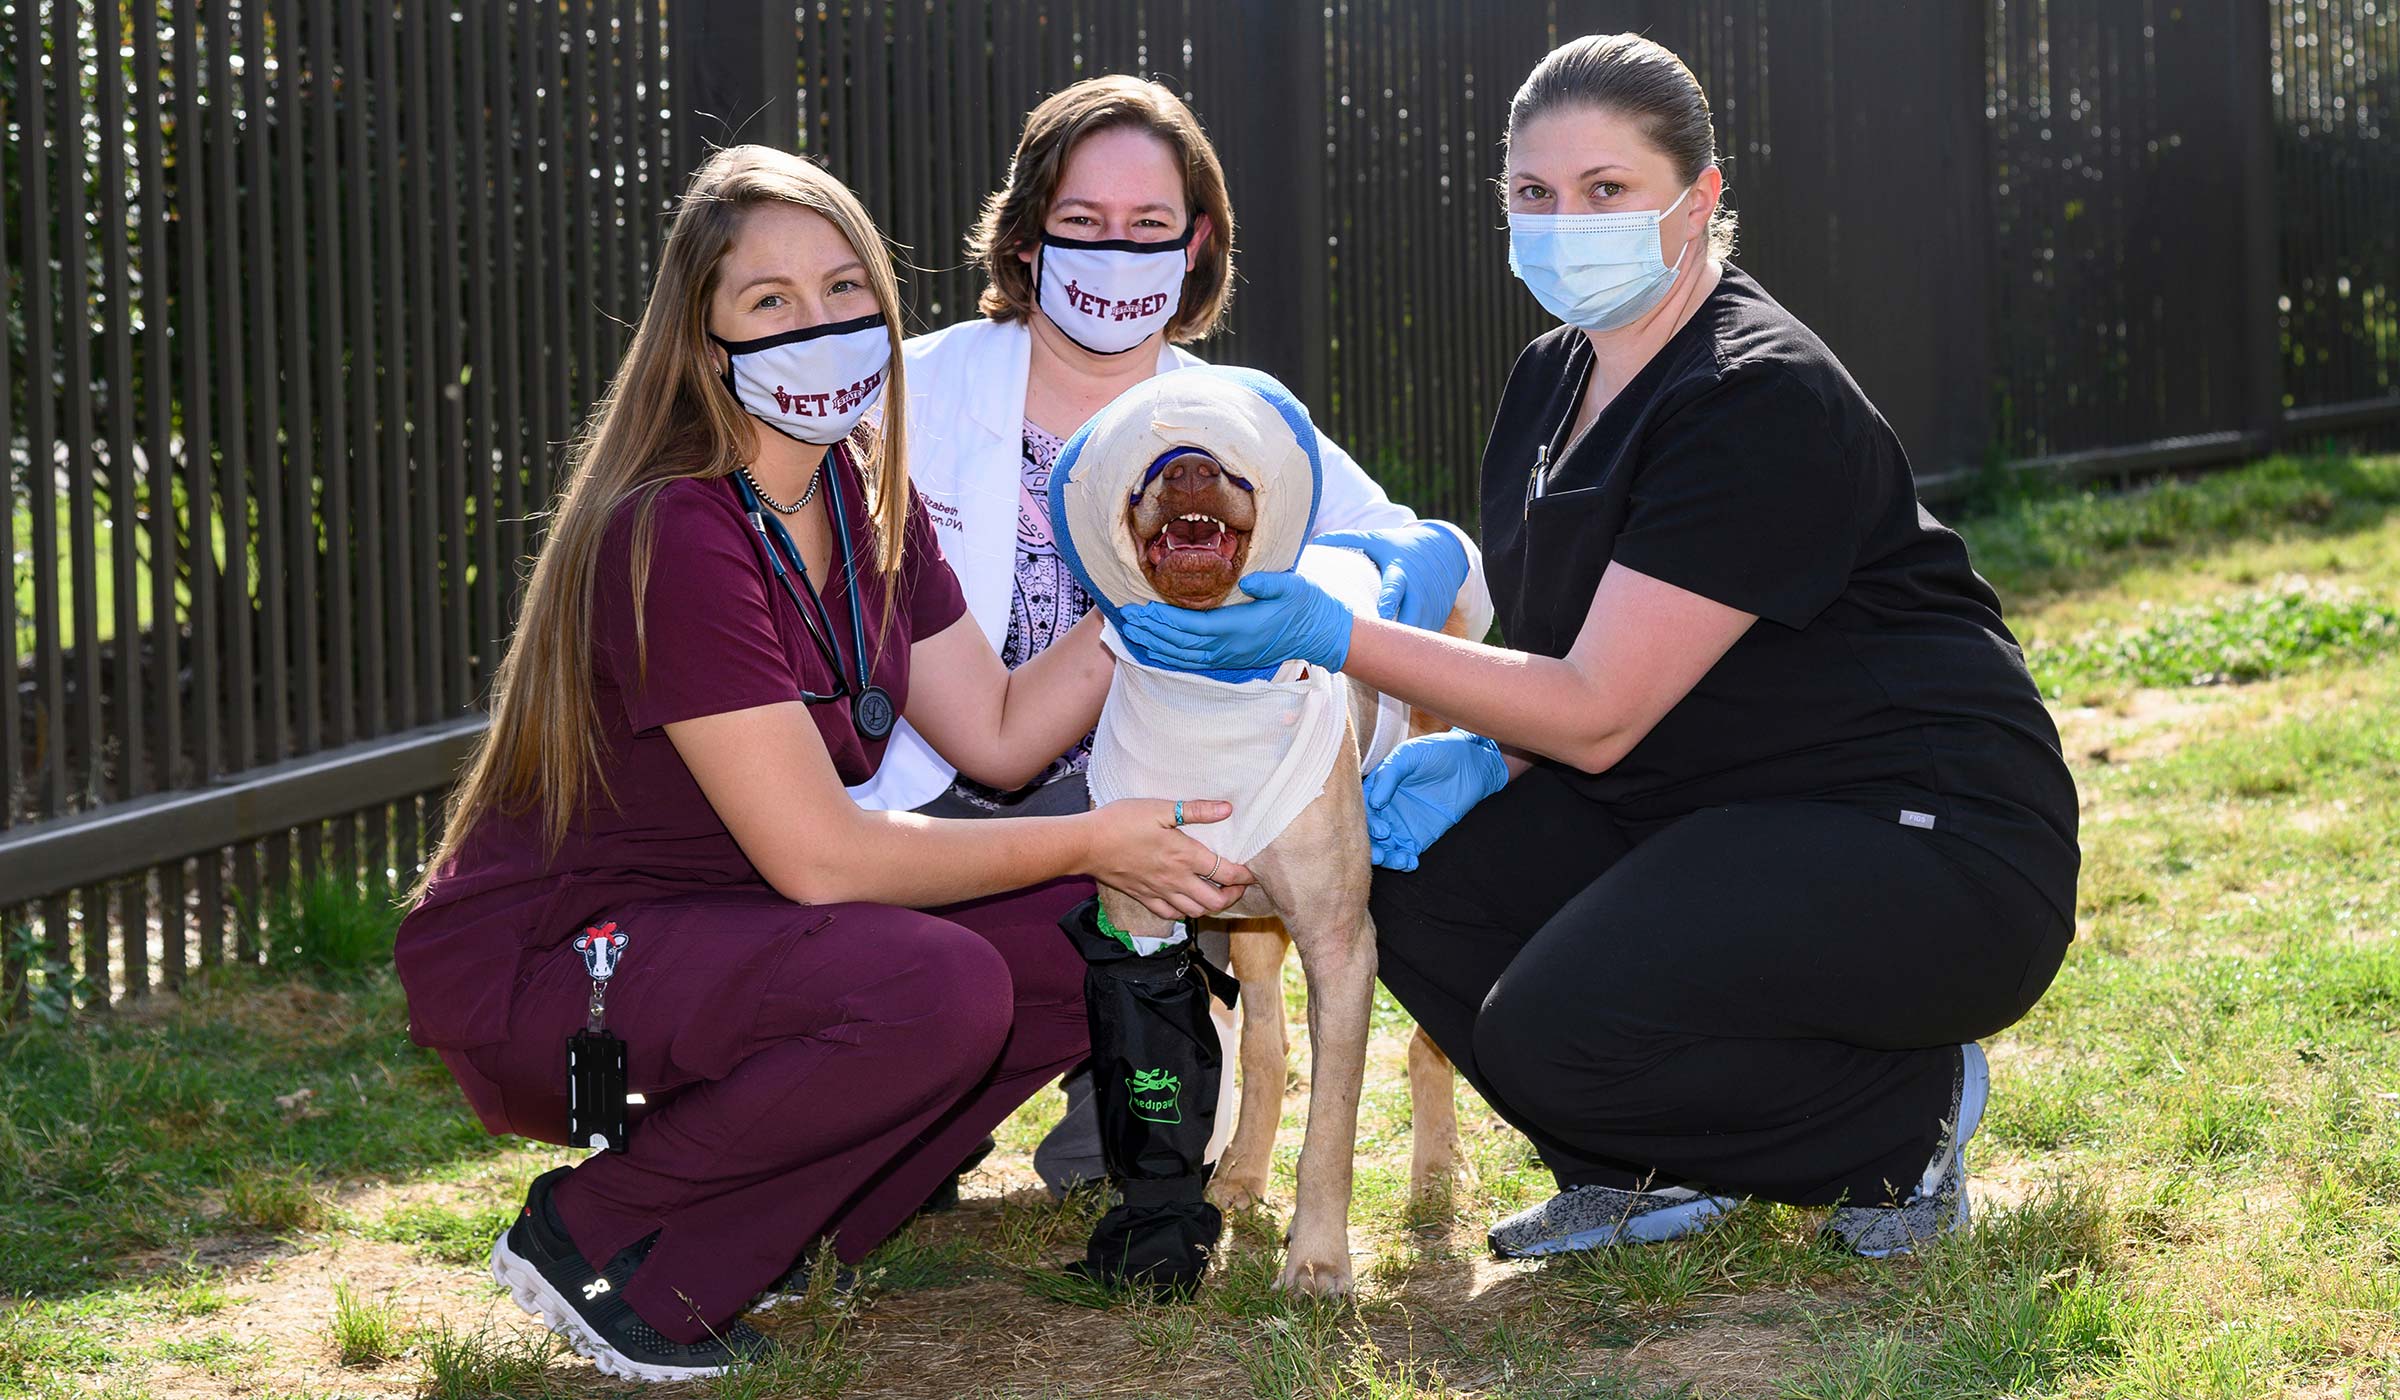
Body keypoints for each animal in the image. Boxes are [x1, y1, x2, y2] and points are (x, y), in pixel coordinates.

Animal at [1051, 365, 1478, 1296]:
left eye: (1232, 473)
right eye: (1147, 474)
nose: (1187, 468)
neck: (1213, 697)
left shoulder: (1342, 943)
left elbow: (1333, 1128)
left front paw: (1317, 1263)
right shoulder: (1138, 920)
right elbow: (1172, 1071)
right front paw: (1159, 1231)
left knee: (1424, 1048)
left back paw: (1433, 1175)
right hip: (1247, 926)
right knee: (1268, 1053)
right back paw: (1242, 1175)